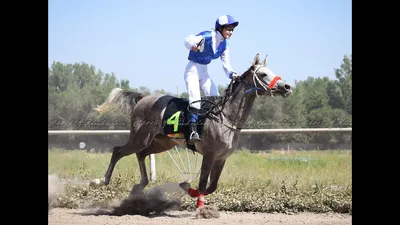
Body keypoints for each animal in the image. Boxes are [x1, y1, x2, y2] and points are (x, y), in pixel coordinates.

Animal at [90, 53, 290, 209]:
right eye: (263, 74)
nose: (286, 87)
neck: (226, 117)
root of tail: (143, 98)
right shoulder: (209, 155)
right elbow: (202, 184)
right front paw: (199, 206)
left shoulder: (221, 158)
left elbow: (211, 186)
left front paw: (188, 188)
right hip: (140, 137)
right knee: (118, 151)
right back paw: (100, 181)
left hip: (162, 142)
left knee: (142, 154)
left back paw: (140, 186)